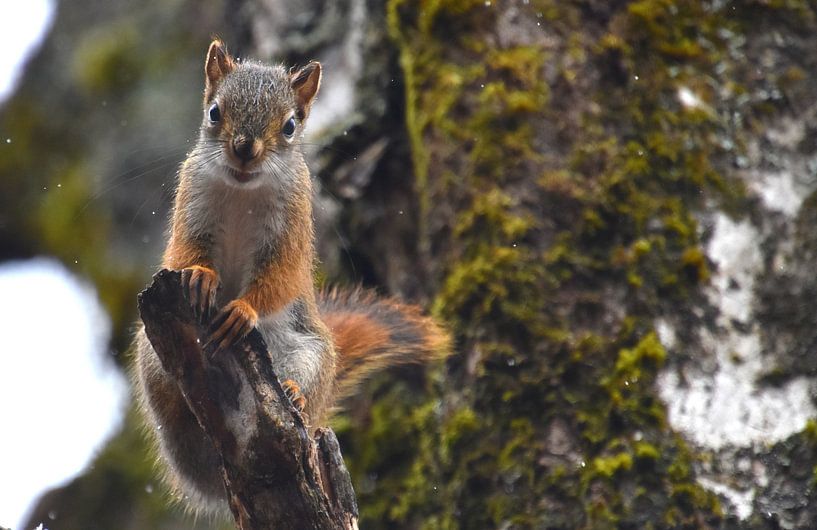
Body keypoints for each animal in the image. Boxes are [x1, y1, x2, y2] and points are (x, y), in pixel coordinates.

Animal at [132, 40, 450, 513]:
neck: (242, 189)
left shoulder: (292, 232)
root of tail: (212, 477)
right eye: (214, 111)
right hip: (152, 357)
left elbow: (279, 279)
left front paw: (243, 310)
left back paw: (295, 393)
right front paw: (202, 277)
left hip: (309, 352)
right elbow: (184, 253)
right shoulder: (191, 204)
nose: (244, 149)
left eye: (289, 126)